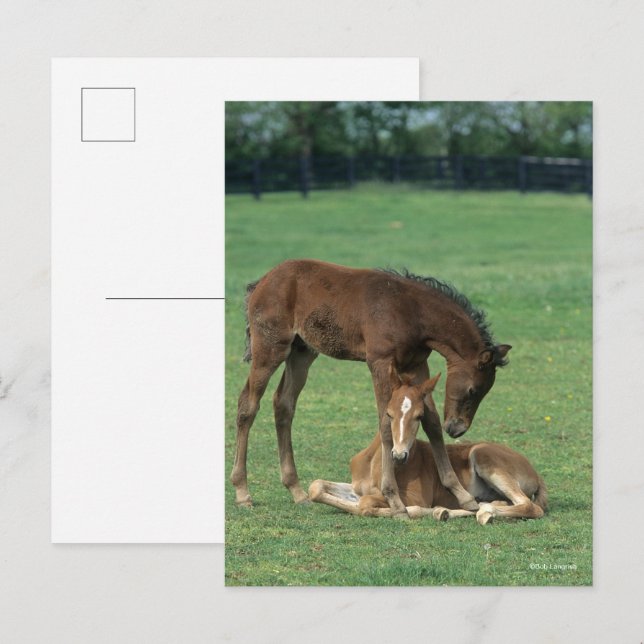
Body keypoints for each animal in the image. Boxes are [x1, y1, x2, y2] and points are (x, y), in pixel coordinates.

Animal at [231, 259, 511, 516]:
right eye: (474, 390)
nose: (457, 428)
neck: (412, 311)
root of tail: (261, 283)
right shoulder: (379, 362)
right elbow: (385, 423)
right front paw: (394, 500)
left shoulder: (416, 366)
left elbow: (431, 422)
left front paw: (464, 496)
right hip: (270, 348)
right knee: (248, 405)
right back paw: (243, 493)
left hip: (302, 352)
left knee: (284, 404)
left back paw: (297, 491)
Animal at [309, 369, 547, 525]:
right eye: (389, 413)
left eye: (419, 416)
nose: (399, 455)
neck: (374, 464)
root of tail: (535, 473)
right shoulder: (357, 488)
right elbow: (317, 488)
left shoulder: (414, 497)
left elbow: (367, 504)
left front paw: (413, 512)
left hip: (483, 456)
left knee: (530, 506)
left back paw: (479, 511)